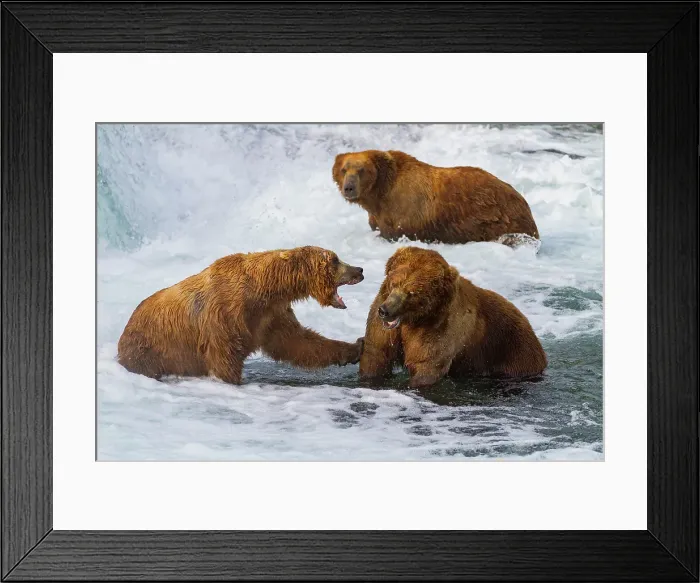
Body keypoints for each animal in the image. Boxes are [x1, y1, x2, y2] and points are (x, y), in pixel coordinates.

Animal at [117, 246, 365, 385]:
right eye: (335, 259)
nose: (360, 270)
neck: (264, 290)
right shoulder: (224, 316)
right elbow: (224, 357)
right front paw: (233, 381)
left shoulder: (269, 317)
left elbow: (299, 343)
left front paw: (356, 346)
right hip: (149, 351)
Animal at [359, 247, 547, 388]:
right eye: (394, 283)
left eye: (412, 292)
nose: (385, 311)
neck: (412, 321)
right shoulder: (383, 327)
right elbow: (376, 355)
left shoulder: (441, 327)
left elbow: (427, 364)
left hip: (512, 350)